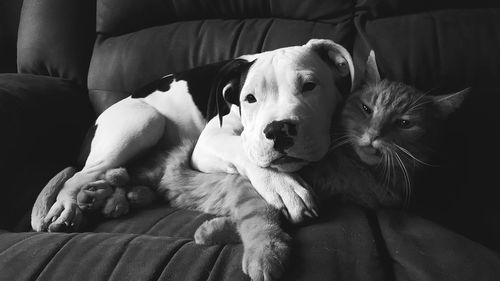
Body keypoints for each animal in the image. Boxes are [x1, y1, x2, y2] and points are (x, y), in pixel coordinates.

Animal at [31, 39, 354, 232]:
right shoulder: (209, 142)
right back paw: (68, 208)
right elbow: (243, 149)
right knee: (77, 176)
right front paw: (283, 186)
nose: (278, 129)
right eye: (249, 98)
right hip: (144, 121)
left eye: (310, 86)